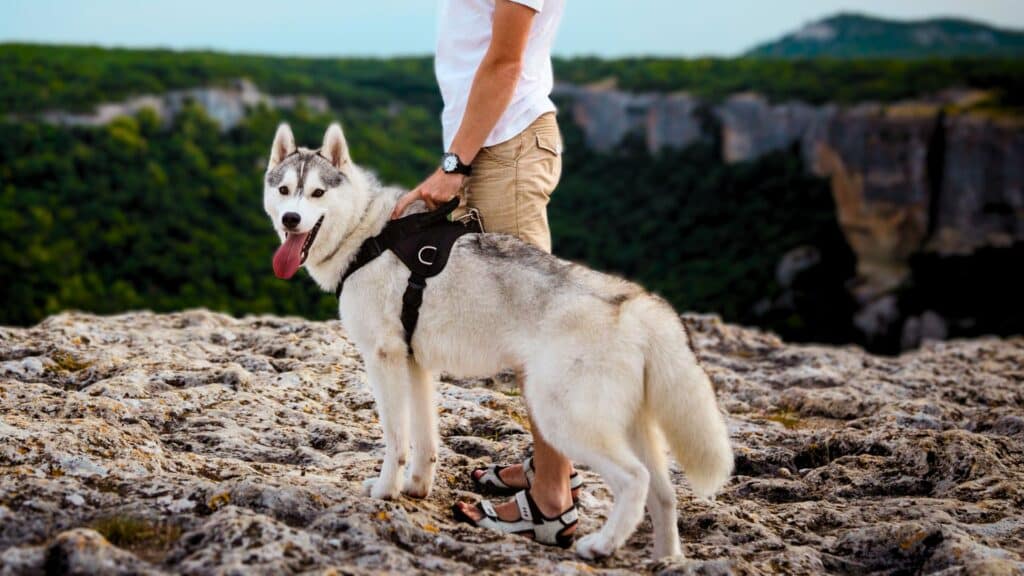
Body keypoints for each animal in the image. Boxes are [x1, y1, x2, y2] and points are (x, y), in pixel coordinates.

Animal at [260, 123, 733, 557]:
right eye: (285, 190)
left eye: (317, 193)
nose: (290, 220)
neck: (364, 232)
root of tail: (635, 302)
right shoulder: (416, 365)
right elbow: (425, 441)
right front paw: (416, 488)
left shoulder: (385, 360)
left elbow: (396, 439)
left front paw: (386, 490)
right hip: (633, 426)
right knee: (664, 493)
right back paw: (667, 559)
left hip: (563, 418)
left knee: (636, 480)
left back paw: (600, 544)